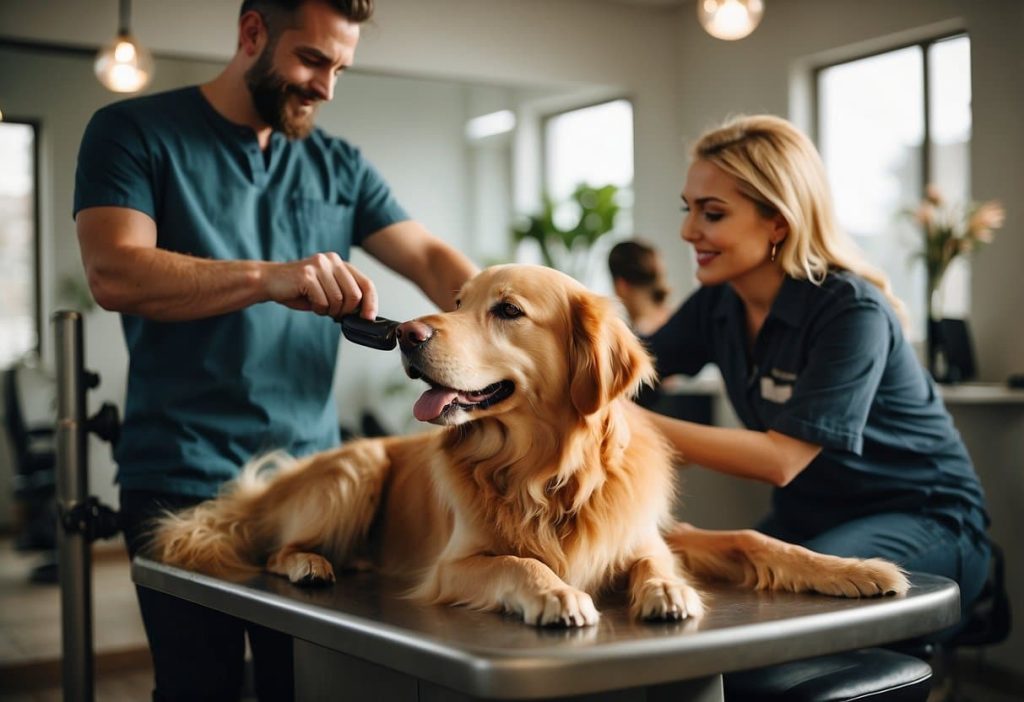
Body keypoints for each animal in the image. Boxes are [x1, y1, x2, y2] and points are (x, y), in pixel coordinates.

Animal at [151, 266, 905, 630]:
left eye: (507, 311)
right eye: (455, 301)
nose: (407, 335)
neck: (549, 470)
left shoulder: (643, 532)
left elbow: (741, 542)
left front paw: (854, 569)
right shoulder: (454, 567)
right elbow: (521, 561)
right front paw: (558, 595)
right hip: (358, 466)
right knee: (276, 548)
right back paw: (310, 563)